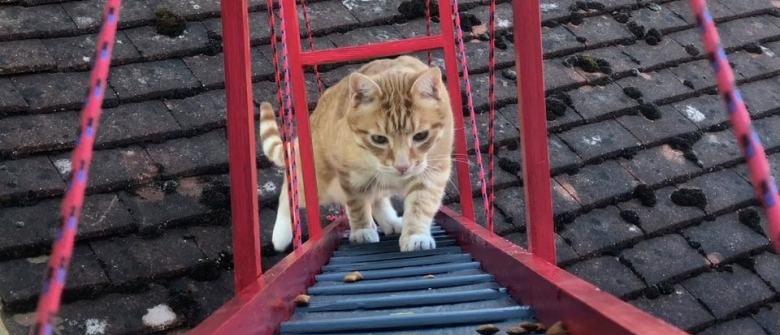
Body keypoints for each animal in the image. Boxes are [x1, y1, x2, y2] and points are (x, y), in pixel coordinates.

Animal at [260, 55, 450, 252]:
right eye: (378, 139)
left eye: (421, 135)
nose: (402, 166)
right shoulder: (350, 175)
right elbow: (356, 203)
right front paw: (362, 231)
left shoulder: (434, 169)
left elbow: (421, 203)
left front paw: (416, 236)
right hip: (321, 184)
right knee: (289, 192)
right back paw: (281, 235)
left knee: (377, 199)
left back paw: (390, 222)